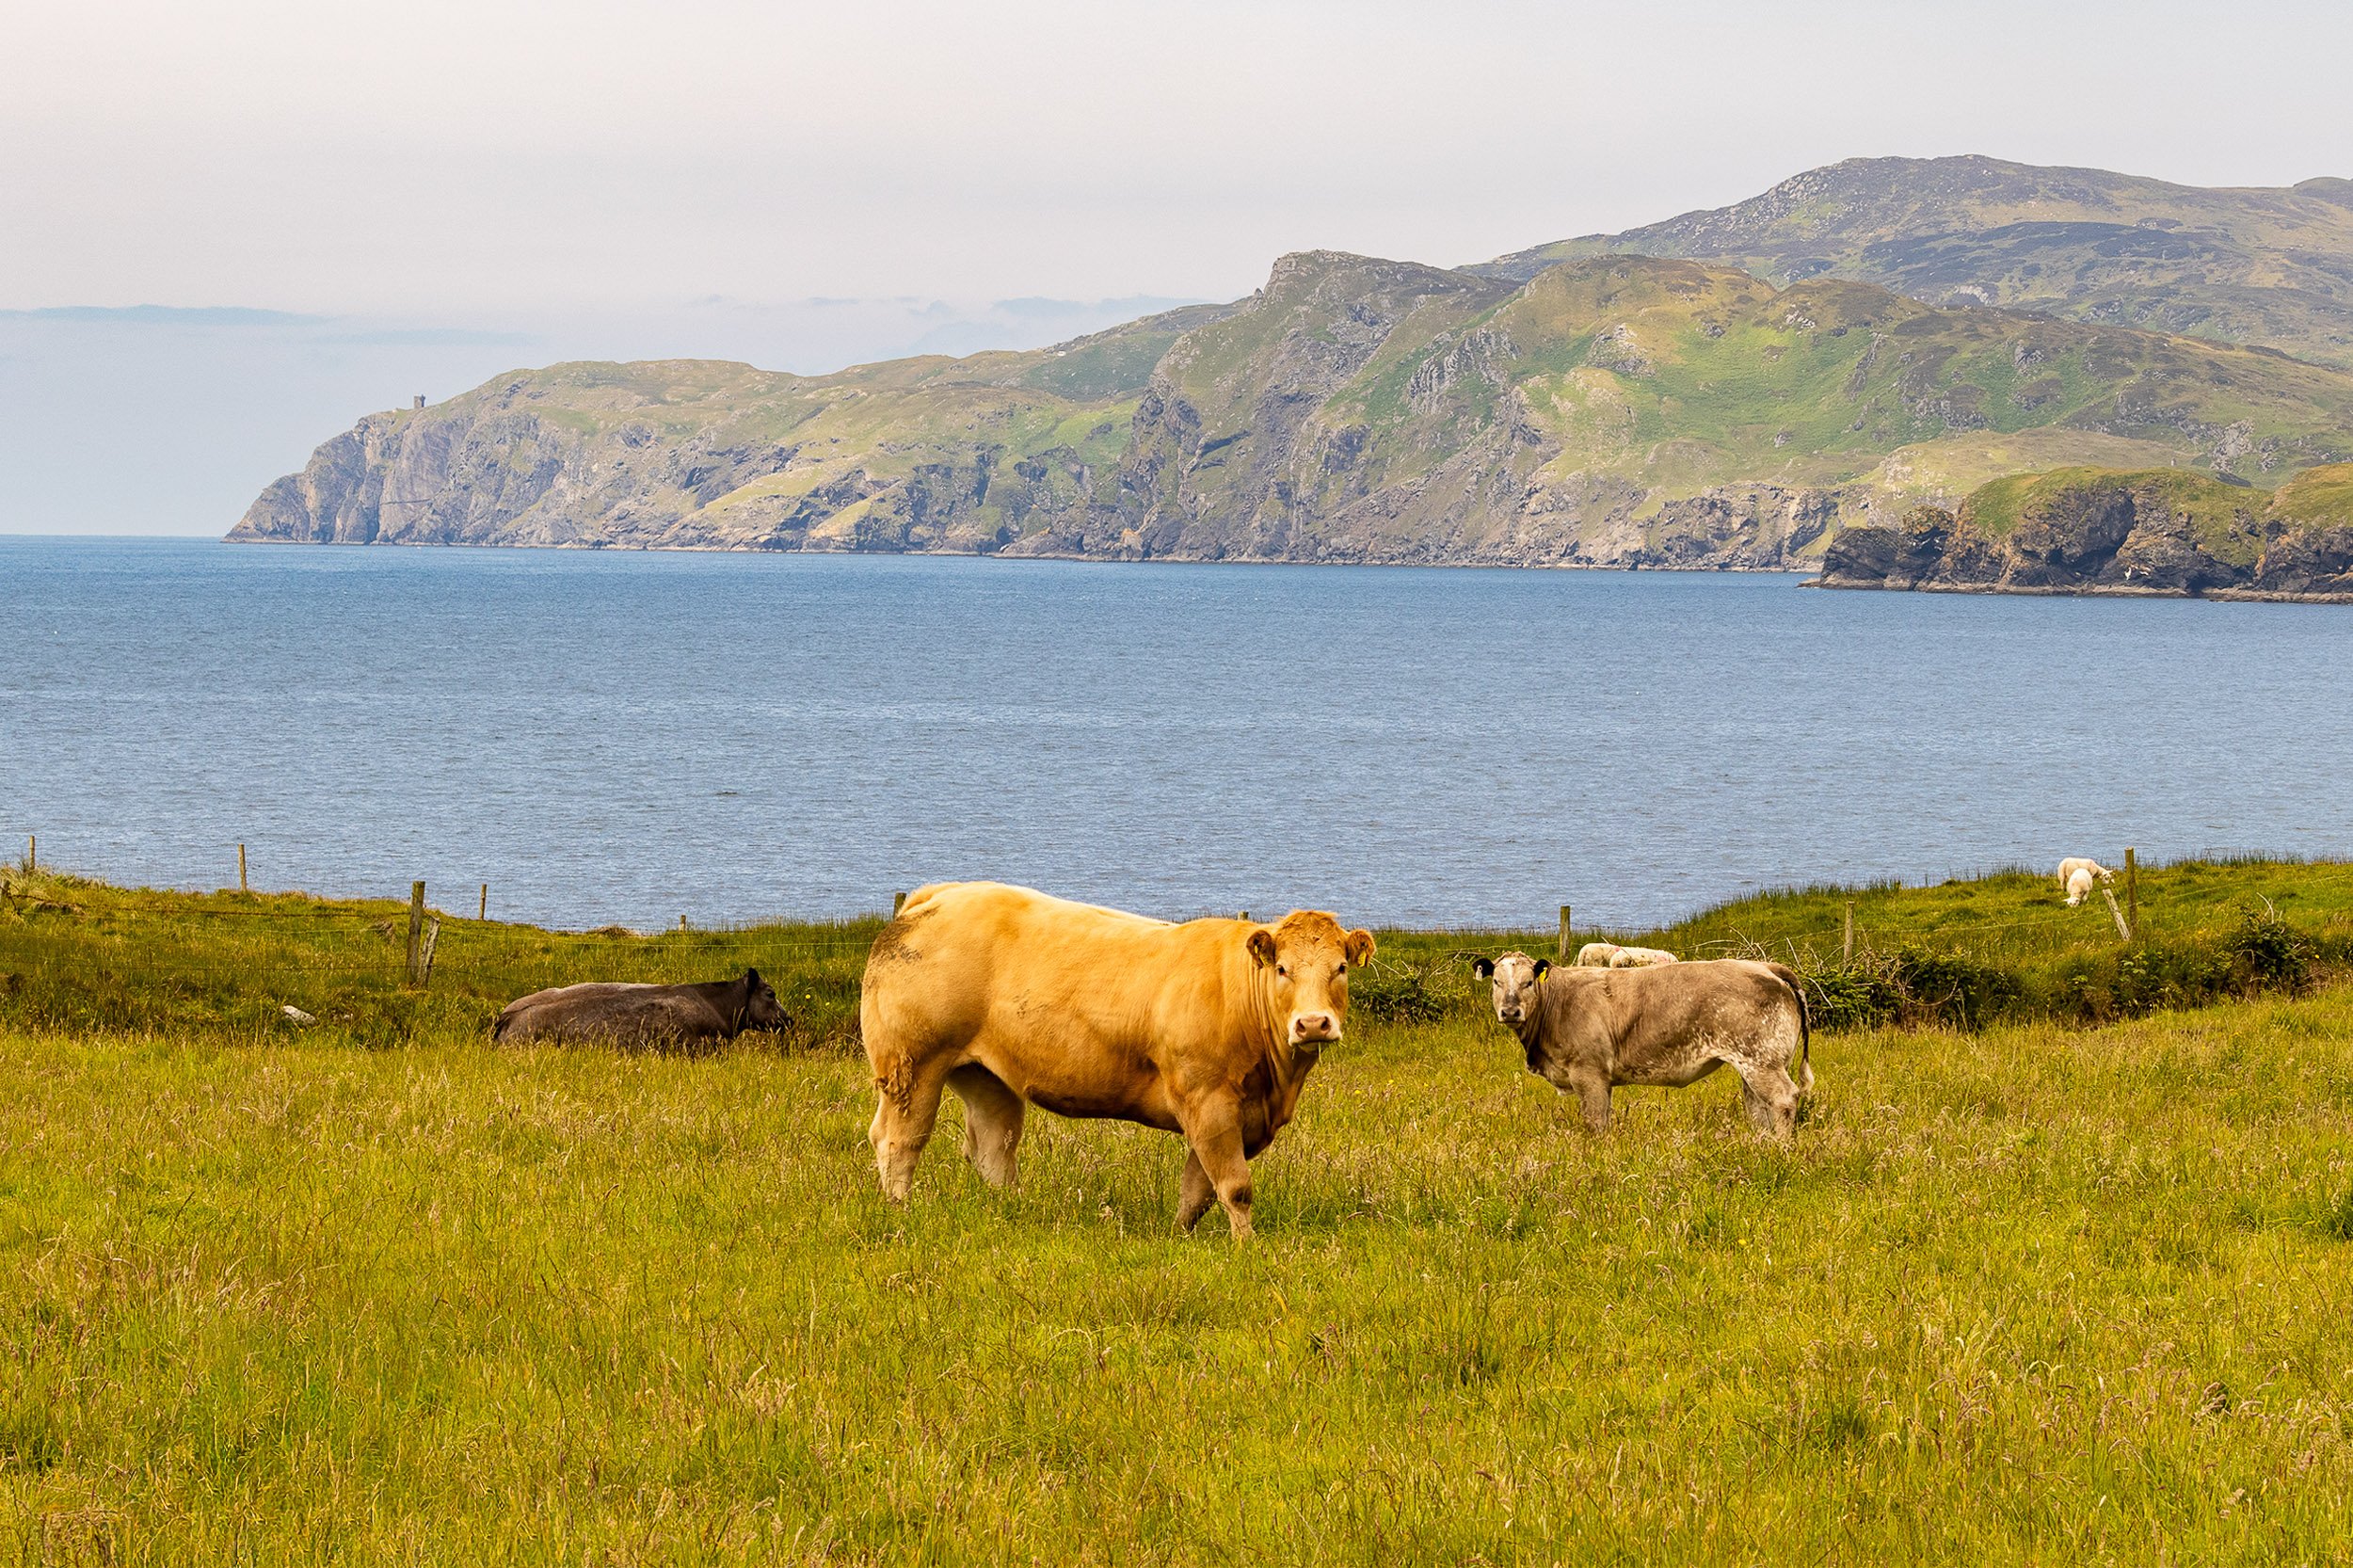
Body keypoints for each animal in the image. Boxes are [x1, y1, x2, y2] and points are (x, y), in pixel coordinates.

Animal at [858, 880, 1375, 1238]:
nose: (1312, 1024)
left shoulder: (1230, 1113)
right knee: (898, 1141)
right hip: (913, 1064)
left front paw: (1179, 1237)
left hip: (986, 1075)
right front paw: (1246, 1246)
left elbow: (1197, 1189)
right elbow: (1233, 1185)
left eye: (1341, 969)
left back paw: (1012, 1212)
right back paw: (900, 1212)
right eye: (1283, 969)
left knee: (992, 1147)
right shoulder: (1207, 1098)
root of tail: (936, 896)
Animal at [1471, 950, 1811, 1138]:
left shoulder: (1589, 1073)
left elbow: (1596, 1123)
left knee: (1783, 1099)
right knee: (1758, 1108)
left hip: (1762, 1062)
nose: (1510, 1011)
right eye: (1496, 982)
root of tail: (1764, 966)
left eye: (1528, 982)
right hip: (1753, 1065)